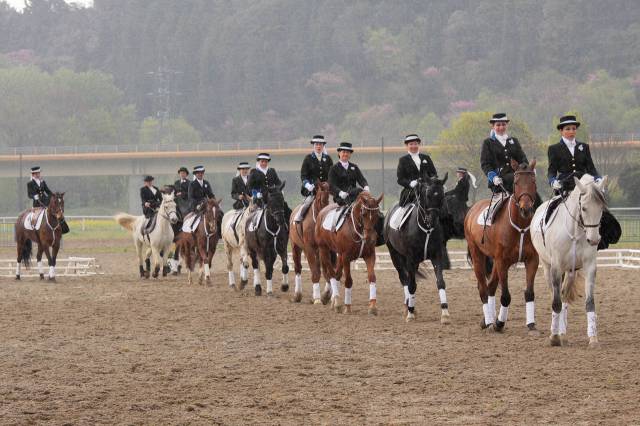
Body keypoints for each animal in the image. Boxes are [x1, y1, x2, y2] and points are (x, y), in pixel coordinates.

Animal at [384, 175, 450, 324]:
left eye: (442, 195)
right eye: (427, 195)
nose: (433, 219)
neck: (425, 228)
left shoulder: (436, 256)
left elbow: (440, 282)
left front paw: (445, 314)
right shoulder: (410, 259)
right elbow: (412, 285)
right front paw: (410, 313)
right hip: (395, 255)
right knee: (404, 279)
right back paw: (407, 306)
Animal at [464, 160, 540, 332]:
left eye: (533, 182)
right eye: (516, 182)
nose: (526, 209)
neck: (520, 225)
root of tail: (473, 209)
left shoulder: (532, 260)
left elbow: (529, 293)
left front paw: (531, 324)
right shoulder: (502, 262)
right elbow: (505, 296)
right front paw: (499, 323)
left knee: (491, 286)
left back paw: (487, 319)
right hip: (478, 255)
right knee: (483, 288)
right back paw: (489, 321)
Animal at [532, 175, 608, 348]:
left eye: (601, 208)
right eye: (584, 208)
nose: (594, 240)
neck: (575, 232)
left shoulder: (589, 266)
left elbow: (589, 302)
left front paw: (593, 339)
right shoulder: (556, 268)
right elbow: (556, 302)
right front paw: (554, 338)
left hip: (571, 272)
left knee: (564, 296)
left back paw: (563, 333)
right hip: (547, 267)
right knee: (555, 296)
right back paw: (557, 333)